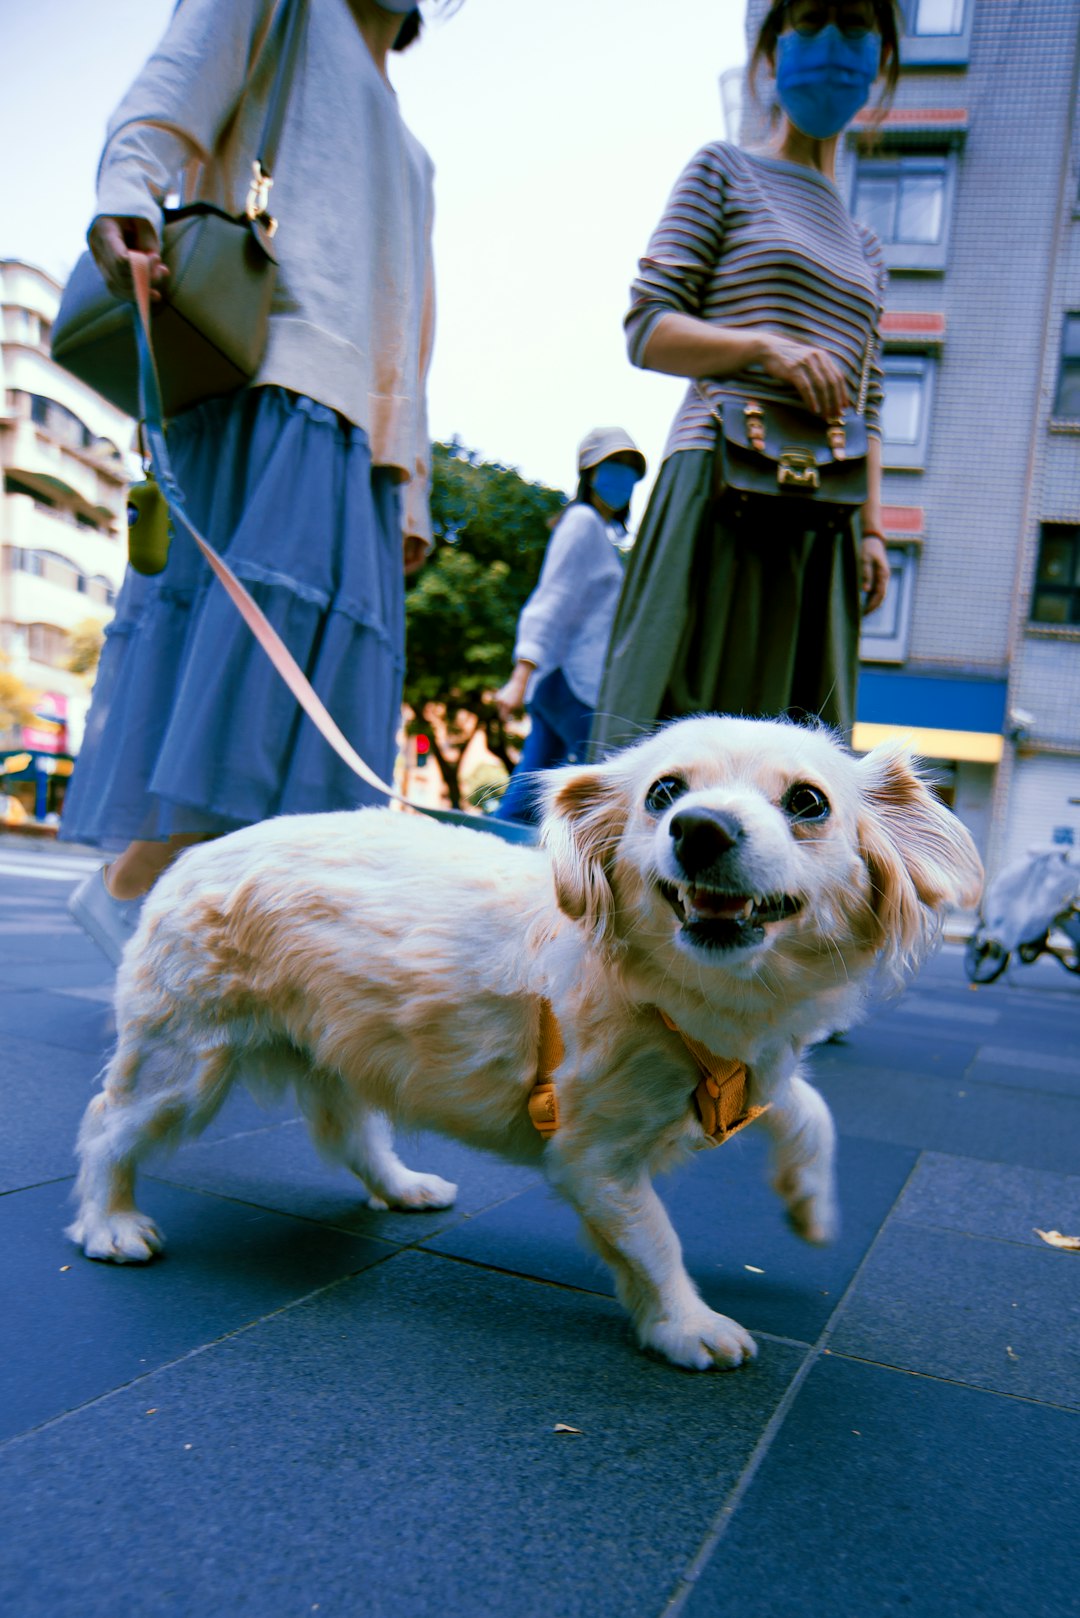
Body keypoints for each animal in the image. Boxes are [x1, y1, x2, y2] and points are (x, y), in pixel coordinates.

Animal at [65, 718, 977, 1365]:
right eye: (664, 793)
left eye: (808, 803)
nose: (700, 828)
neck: (702, 1002)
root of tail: (194, 856)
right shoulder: (592, 1160)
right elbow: (656, 1243)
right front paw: (687, 1326)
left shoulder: (747, 1072)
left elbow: (807, 1106)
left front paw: (810, 1204)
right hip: (183, 1067)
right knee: (107, 1127)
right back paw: (110, 1225)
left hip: (344, 1054)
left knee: (350, 1137)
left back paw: (403, 1186)